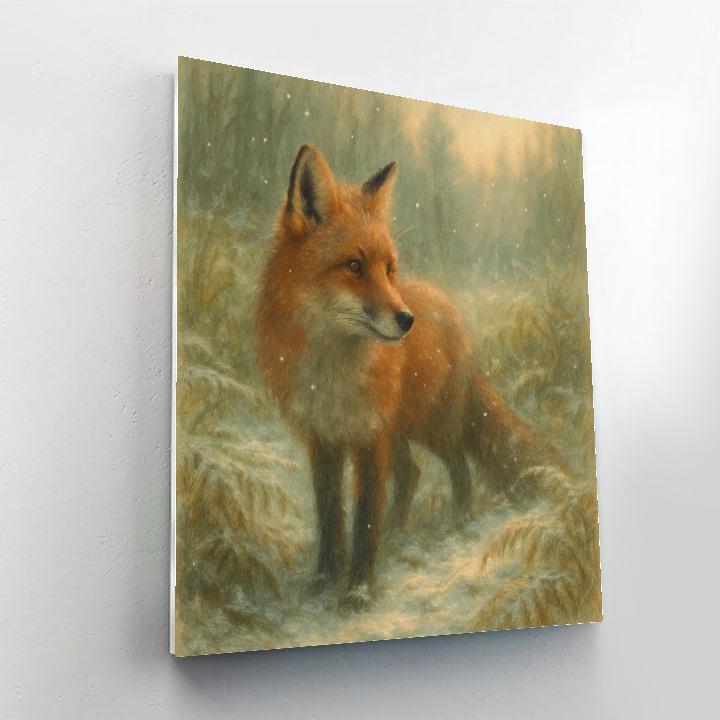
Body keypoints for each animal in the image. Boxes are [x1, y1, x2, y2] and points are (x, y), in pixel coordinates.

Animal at [255, 144, 563, 608]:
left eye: (388, 268)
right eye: (353, 266)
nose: (406, 320)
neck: (332, 372)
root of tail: (453, 314)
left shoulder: (369, 438)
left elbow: (365, 518)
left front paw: (358, 592)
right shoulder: (323, 439)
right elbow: (329, 516)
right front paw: (324, 582)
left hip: (431, 425)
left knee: (458, 466)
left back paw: (458, 520)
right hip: (400, 431)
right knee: (412, 474)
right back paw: (398, 533)